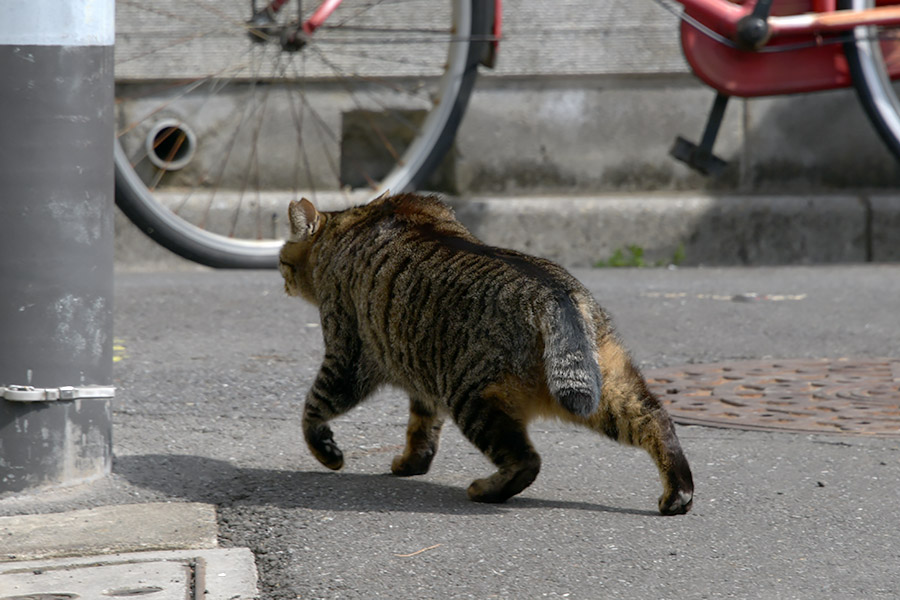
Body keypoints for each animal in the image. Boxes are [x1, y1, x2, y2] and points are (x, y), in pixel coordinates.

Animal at [282, 193, 696, 516]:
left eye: (283, 261)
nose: (283, 283)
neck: (351, 223)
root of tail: (554, 294)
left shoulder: (346, 356)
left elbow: (313, 409)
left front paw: (326, 450)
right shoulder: (421, 372)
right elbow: (421, 429)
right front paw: (412, 463)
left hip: (473, 397)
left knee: (527, 461)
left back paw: (485, 490)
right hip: (608, 389)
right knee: (656, 420)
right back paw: (678, 493)